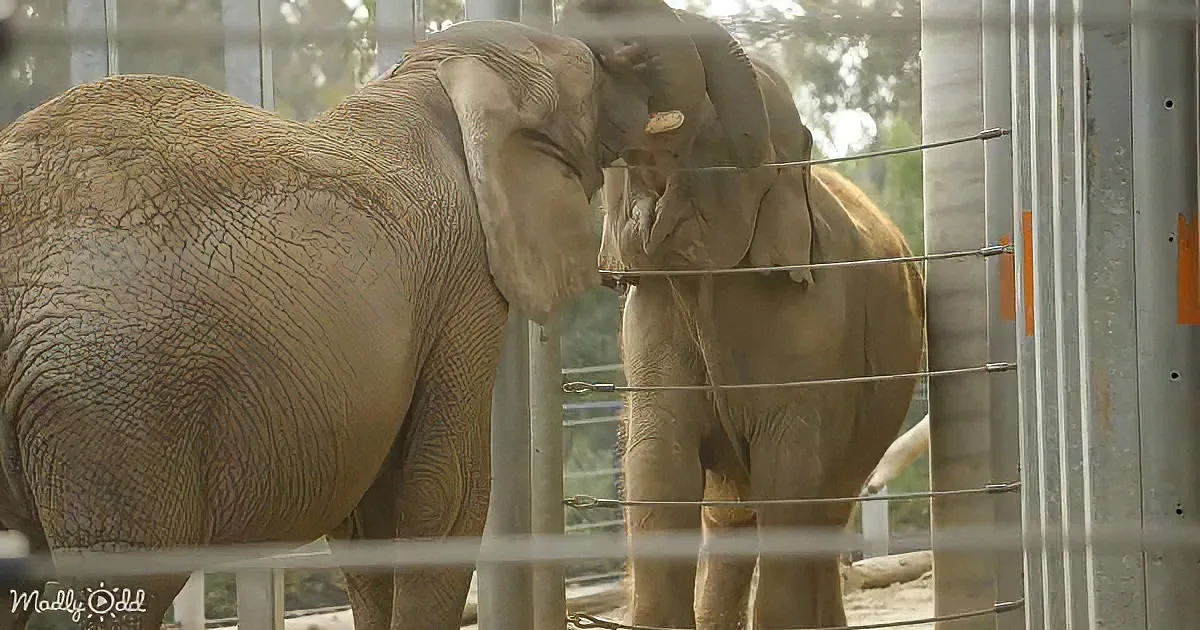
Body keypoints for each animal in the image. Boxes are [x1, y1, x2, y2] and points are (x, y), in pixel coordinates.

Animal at [0, 19, 656, 630]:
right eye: (591, 72)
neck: (431, 75)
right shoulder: (462, 276)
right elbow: (445, 495)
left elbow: (371, 518)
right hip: (114, 397)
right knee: (124, 580)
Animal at [593, 31, 927, 630]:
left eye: (715, 118)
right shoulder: (649, 315)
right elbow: (658, 466)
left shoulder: (814, 325)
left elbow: (788, 475)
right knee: (732, 519)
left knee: (821, 512)